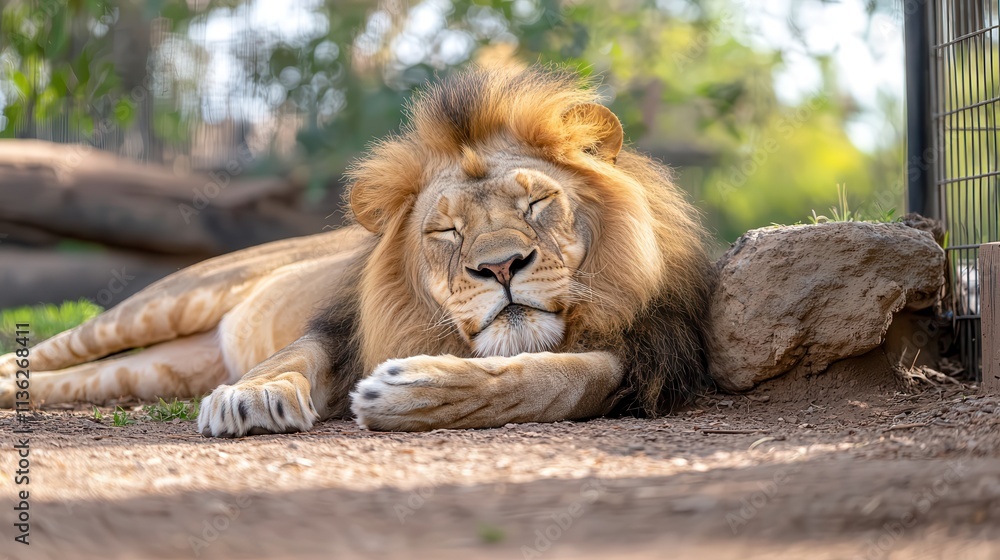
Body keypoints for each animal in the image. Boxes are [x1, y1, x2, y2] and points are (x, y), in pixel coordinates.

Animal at [0, 66, 715, 436]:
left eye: (536, 203)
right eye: (446, 233)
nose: (500, 267)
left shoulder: (648, 355)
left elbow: (559, 378)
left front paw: (417, 392)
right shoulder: (339, 328)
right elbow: (290, 358)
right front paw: (248, 400)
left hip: (153, 371)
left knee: (70, 379)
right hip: (164, 304)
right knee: (54, 350)